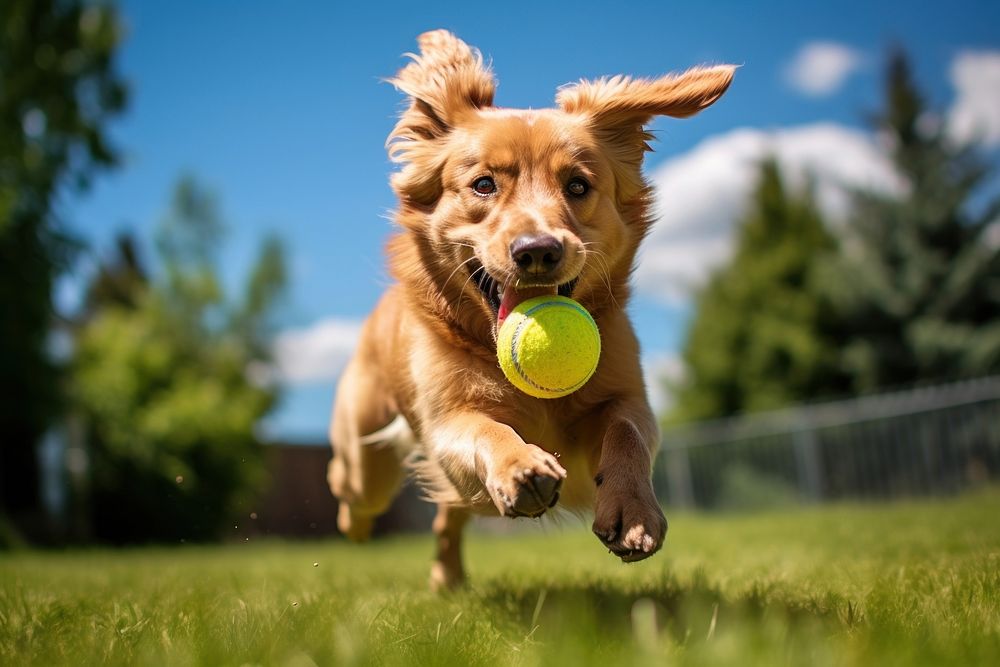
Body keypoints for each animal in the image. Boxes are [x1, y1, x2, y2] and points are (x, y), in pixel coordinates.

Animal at [330, 30, 736, 588]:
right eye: (483, 184)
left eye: (578, 185)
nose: (538, 250)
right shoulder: (448, 422)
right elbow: (487, 429)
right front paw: (520, 467)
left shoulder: (627, 396)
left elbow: (627, 432)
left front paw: (633, 512)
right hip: (365, 454)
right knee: (350, 487)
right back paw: (356, 528)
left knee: (447, 517)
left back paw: (447, 575)